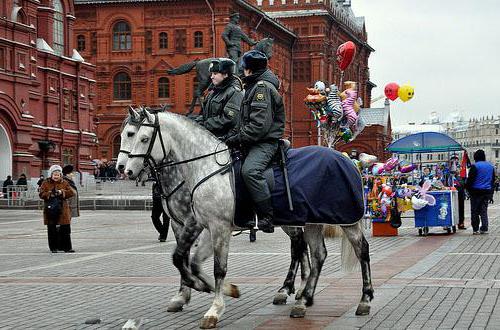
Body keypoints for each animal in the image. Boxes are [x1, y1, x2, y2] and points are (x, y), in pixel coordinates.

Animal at [124, 109, 372, 328]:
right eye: (128, 134)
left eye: (142, 138)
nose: (125, 170)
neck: (204, 167)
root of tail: (348, 160)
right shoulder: (204, 226)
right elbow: (189, 261)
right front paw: (213, 289)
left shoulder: (216, 227)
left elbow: (217, 268)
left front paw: (214, 309)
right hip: (311, 221)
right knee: (317, 253)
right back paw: (302, 300)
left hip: (346, 221)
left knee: (360, 250)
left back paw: (364, 300)